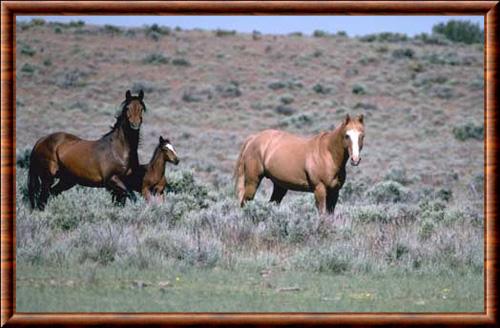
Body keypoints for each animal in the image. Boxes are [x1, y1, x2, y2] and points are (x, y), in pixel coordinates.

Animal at [234, 114, 364, 214]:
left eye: (361, 135)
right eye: (347, 135)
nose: (355, 159)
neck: (328, 154)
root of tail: (253, 138)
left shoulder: (334, 192)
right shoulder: (319, 189)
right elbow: (322, 213)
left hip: (280, 186)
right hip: (252, 182)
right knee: (245, 202)